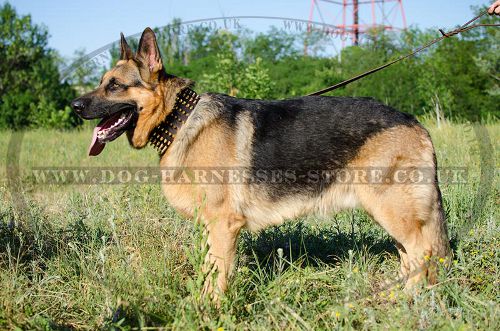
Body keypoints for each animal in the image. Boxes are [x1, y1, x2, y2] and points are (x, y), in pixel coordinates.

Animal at [72, 27, 452, 298]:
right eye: (101, 83)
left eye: (115, 86)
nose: (74, 106)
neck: (180, 119)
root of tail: (415, 123)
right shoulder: (213, 230)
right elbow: (209, 274)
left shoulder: (223, 227)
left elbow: (217, 281)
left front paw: (211, 313)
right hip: (392, 214)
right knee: (413, 257)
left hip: (393, 210)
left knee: (425, 253)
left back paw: (411, 302)